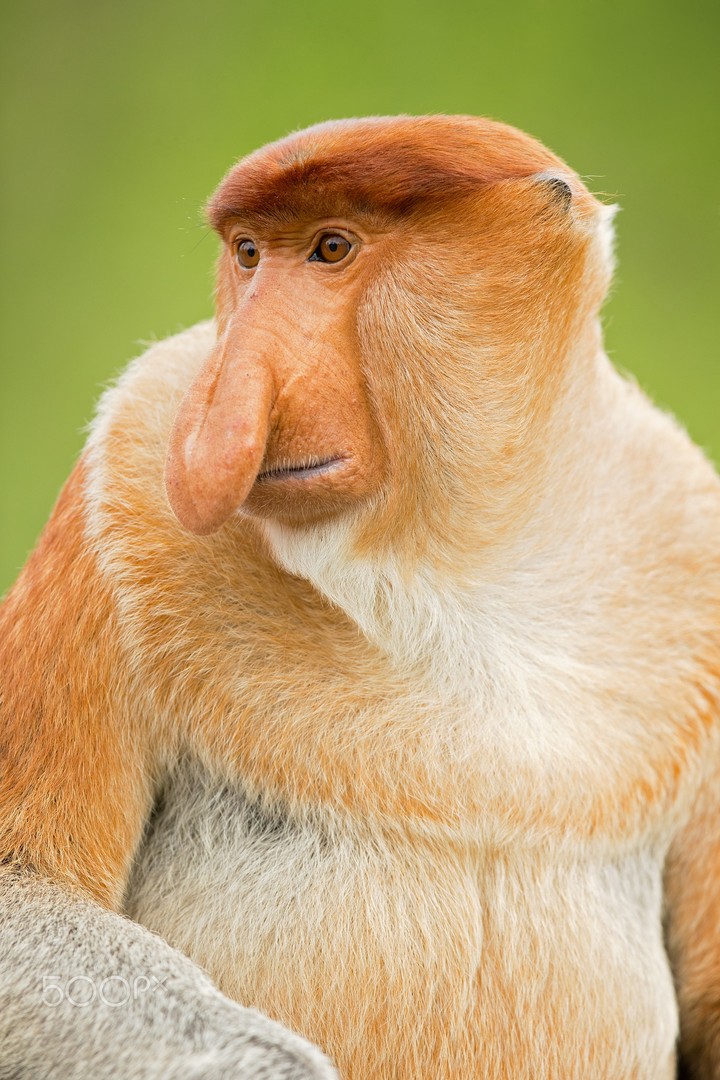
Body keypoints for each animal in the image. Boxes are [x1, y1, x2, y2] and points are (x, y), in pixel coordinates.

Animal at [1, 114, 719, 1080]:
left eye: (331, 248)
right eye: (249, 253)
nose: (221, 410)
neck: (446, 554)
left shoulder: (687, 539)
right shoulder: (127, 469)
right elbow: (27, 892)